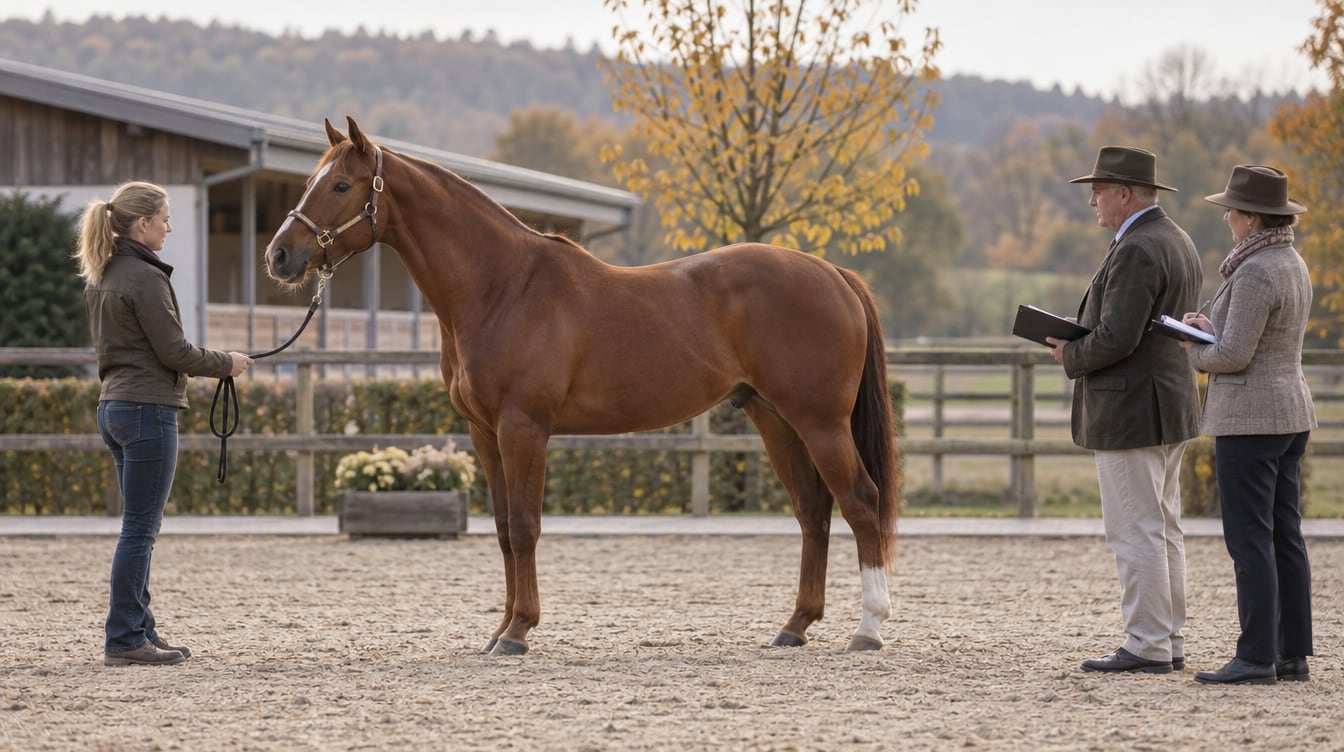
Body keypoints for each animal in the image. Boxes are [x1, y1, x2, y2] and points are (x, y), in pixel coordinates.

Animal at [265, 117, 900, 656]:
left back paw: (868, 629)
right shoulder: (484, 433)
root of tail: (831, 272)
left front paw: (518, 632)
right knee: (813, 511)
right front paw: (498, 630)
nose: (279, 255)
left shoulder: (524, 427)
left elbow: (526, 527)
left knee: (860, 501)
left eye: (341, 185)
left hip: (819, 422)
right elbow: (503, 529)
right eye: (311, 180)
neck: (502, 286)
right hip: (774, 418)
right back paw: (794, 626)